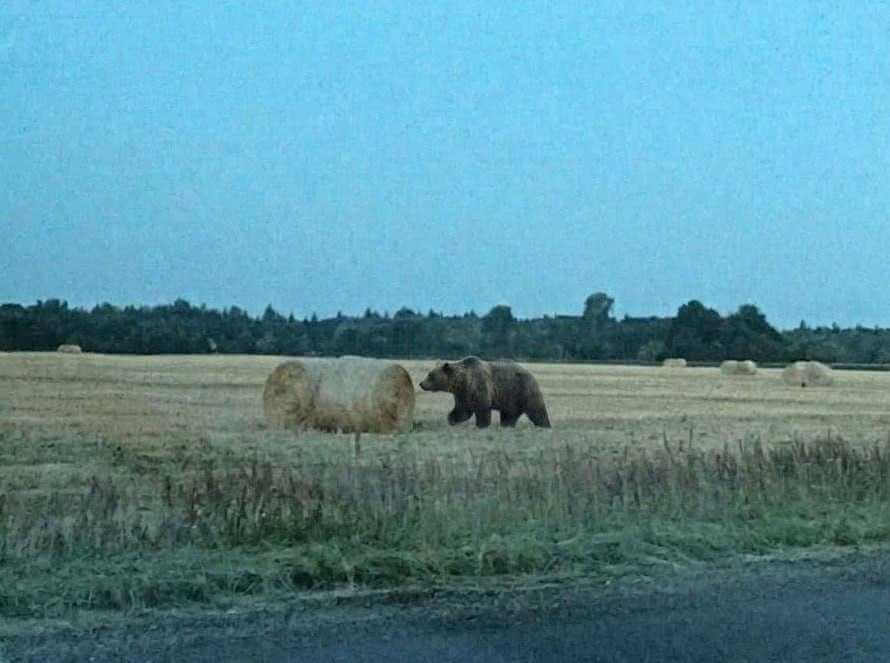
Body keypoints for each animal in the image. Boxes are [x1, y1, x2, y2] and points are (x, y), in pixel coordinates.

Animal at [419, 356, 551, 428]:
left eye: (430, 375)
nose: (421, 384)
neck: (462, 381)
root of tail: (530, 374)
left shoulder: (479, 386)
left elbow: (482, 408)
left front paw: (481, 425)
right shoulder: (463, 395)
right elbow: (462, 411)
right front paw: (451, 419)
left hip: (523, 390)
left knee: (536, 409)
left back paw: (545, 426)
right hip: (510, 399)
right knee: (509, 414)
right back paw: (506, 425)